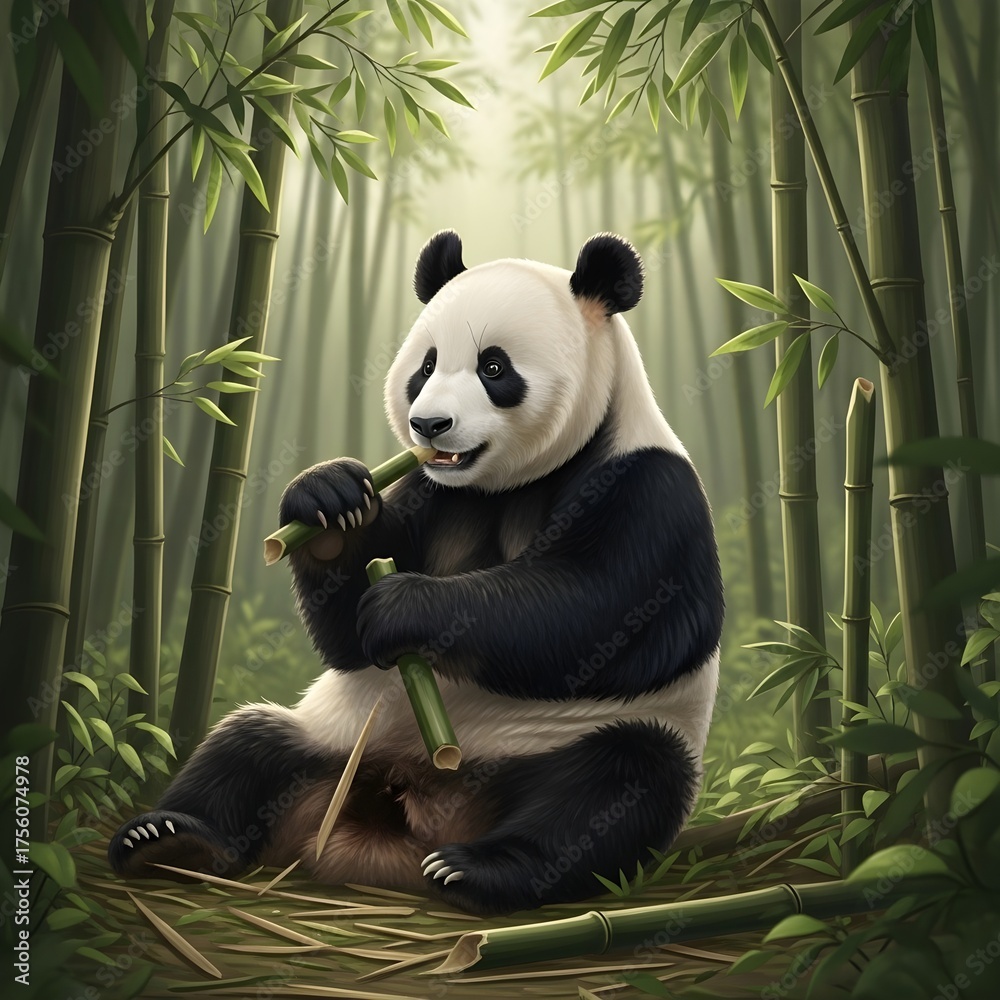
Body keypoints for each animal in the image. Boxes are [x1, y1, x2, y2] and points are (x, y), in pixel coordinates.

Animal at [108, 231, 724, 917]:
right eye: (425, 367)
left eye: (493, 367)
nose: (429, 425)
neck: (512, 483)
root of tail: (406, 810)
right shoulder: (432, 493)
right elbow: (346, 638)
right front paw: (326, 499)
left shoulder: (648, 491)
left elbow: (605, 613)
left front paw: (406, 607)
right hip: (337, 735)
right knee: (246, 744)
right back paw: (169, 838)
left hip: (575, 742)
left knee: (616, 785)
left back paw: (477, 869)